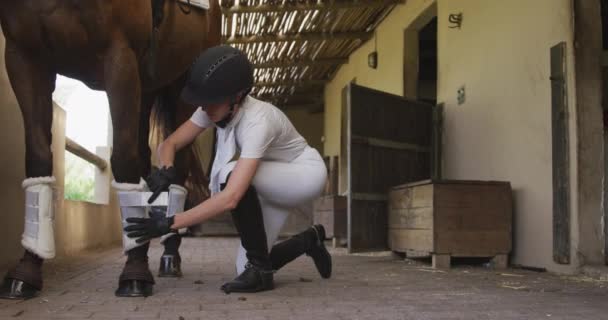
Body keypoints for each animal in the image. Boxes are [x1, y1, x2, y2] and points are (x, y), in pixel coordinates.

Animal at [0, 0, 221, 298]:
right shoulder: (24, 56)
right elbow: (37, 155)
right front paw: (27, 269)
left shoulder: (119, 56)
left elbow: (124, 159)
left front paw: (135, 273)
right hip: (147, 88)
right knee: (146, 159)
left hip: (182, 86)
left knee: (177, 167)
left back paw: (169, 255)